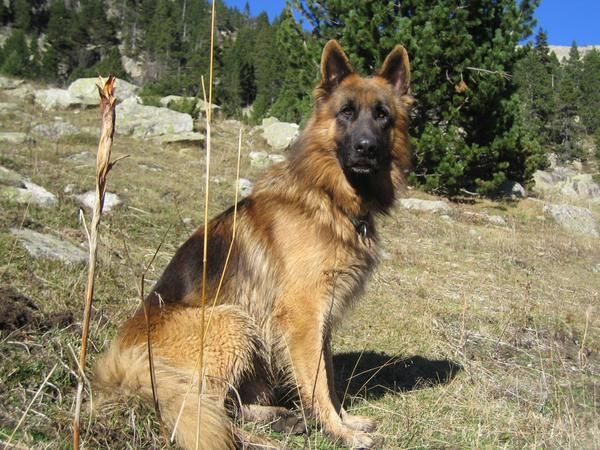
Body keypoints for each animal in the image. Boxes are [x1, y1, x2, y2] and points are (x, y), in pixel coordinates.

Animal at [95, 40, 412, 448]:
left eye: (382, 116)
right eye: (346, 112)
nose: (366, 148)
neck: (327, 197)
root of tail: (121, 360)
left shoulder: (321, 319)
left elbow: (328, 378)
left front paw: (345, 421)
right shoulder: (304, 316)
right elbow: (317, 383)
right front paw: (339, 432)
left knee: (225, 405)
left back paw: (280, 419)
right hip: (231, 322)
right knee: (203, 407)